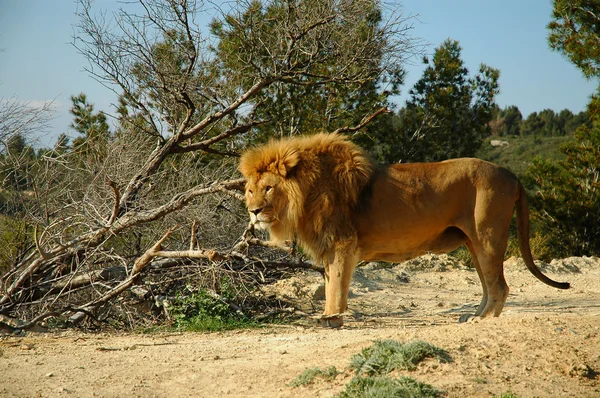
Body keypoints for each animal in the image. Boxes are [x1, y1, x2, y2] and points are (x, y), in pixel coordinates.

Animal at [237, 133, 568, 326]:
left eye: (268, 188)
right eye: (250, 190)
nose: (253, 212)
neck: (307, 192)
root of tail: (511, 174)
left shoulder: (343, 244)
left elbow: (338, 286)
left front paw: (333, 317)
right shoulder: (330, 247)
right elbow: (331, 284)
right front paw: (329, 315)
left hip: (487, 236)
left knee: (499, 285)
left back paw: (480, 321)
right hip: (474, 243)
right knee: (490, 286)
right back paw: (472, 316)